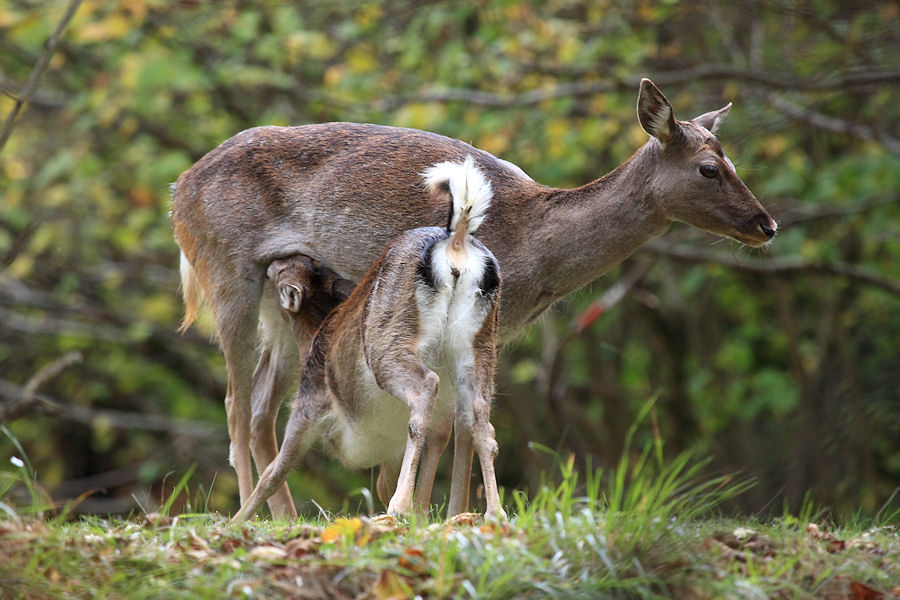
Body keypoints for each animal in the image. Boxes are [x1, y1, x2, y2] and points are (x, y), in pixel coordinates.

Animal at [230, 157, 506, 524]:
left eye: (287, 268)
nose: (271, 262)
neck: (314, 335)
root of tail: (457, 241)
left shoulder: (308, 406)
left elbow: (273, 474)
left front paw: (236, 520)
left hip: (388, 344)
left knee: (426, 386)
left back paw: (399, 507)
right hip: (479, 346)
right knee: (482, 420)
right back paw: (494, 512)